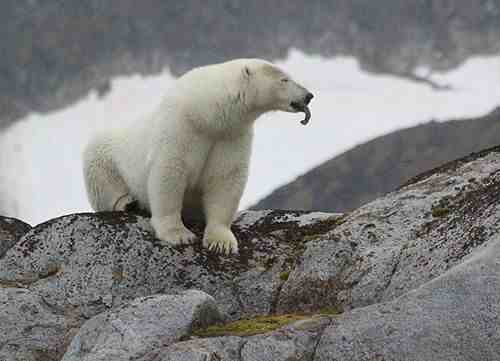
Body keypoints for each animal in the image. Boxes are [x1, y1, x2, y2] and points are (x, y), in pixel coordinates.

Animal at [84, 58, 314, 253]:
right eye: (284, 79)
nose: (309, 96)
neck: (207, 115)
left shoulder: (231, 136)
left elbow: (226, 179)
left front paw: (221, 242)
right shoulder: (180, 127)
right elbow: (169, 172)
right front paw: (178, 234)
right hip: (105, 154)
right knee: (101, 180)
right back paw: (128, 202)